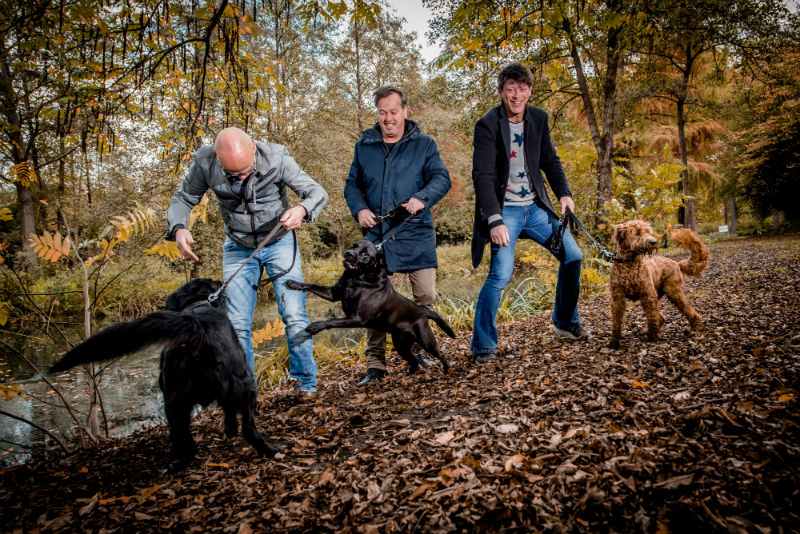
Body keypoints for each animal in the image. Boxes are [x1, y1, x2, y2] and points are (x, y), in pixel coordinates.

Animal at [47, 280, 280, 468]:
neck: (197, 305)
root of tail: (196, 328)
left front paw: (229, 430)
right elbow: (230, 410)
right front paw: (231, 431)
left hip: (175, 398)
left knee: (182, 434)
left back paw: (183, 459)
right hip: (244, 385)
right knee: (247, 427)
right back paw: (270, 450)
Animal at [288, 241, 454, 374]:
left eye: (365, 254)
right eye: (353, 246)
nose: (348, 253)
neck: (357, 278)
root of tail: (422, 311)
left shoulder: (358, 318)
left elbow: (332, 321)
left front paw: (315, 326)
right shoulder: (333, 294)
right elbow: (312, 285)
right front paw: (293, 283)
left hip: (425, 340)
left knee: (439, 354)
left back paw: (446, 369)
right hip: (400, 344)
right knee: (413, 360)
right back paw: (410, 373)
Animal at [608, 220, 708, 350]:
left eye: (648, 231)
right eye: (637, 232)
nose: (653, 242)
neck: (629, 263)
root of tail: (676, 263)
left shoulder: (648, 294)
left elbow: (652, 317)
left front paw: (652, 338)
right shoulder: (617, 298)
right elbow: (616, 322)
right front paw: (613, 342)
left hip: (673, 292)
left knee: (687, 310)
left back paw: (696, 328)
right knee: (660, 317)